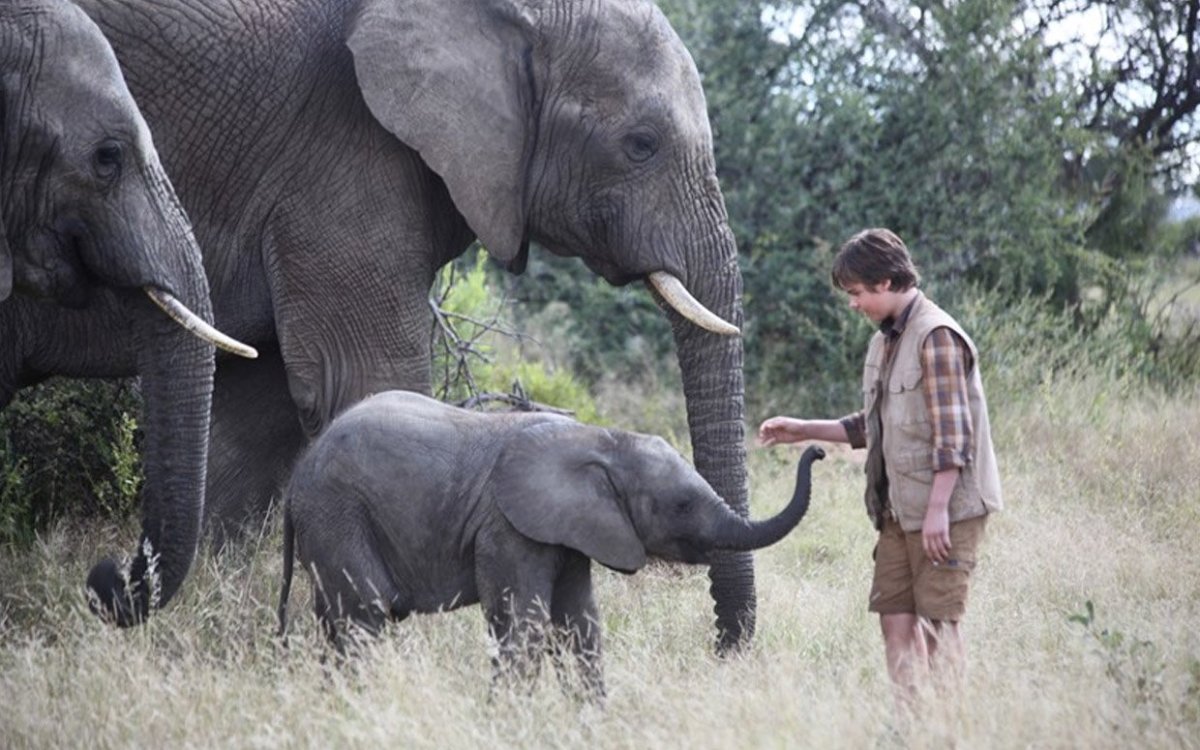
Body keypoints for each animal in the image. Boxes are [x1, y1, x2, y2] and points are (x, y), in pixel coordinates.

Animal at [278, 388, 825, 691]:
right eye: (683, 506)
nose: (817, 450)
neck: (603, 440)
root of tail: (296, 479)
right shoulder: (508, 528)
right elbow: (524, 623)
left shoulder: (572, 530)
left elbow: (579, 624)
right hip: (338, 514)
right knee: (364, 617)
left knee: (335, 622)